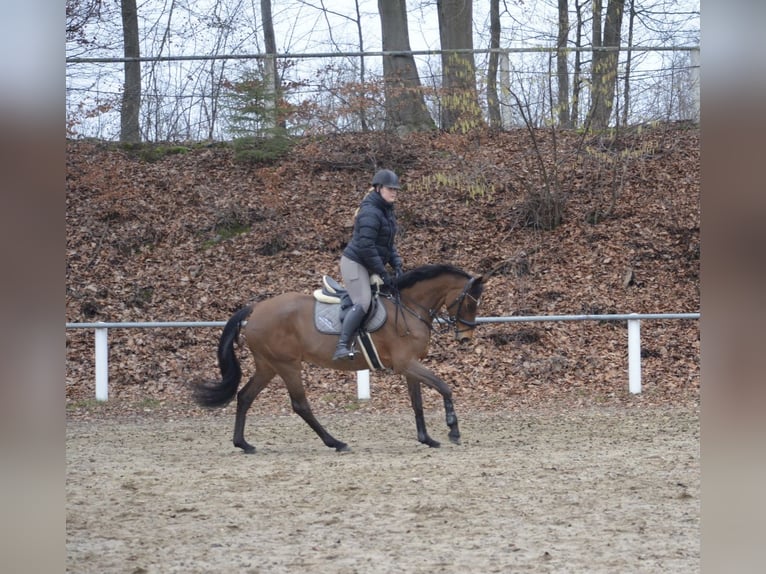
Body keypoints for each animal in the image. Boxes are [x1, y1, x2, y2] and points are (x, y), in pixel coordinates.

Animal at [198, 264, 486, 454]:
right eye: (470, 303)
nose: (466, 338)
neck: (408, 307)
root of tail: (255, 308)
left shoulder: (409, 366)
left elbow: (417, 402)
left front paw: (427, 438)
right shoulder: (406, 364)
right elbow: (444, 387)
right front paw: (453, 430)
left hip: (267, 365)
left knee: (245, 396)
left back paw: (243, 444)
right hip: (287, 365)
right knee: (300, 405)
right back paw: (336, 442)